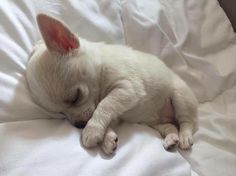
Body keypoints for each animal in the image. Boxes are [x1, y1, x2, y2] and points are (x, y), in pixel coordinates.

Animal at [26, 14, 198, 155]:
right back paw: (171, 139)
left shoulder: (128, 89)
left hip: (180, 97)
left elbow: (104, 105)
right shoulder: (117, 110)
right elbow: (105, 115)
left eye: (76, 96)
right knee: (171, 126)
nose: (79, 125)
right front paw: (107, 138)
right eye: (61, 113)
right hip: (156, 122)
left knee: (187, 122)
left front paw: (91, 131)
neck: (101, 68)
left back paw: (184, 137)